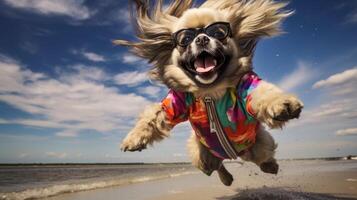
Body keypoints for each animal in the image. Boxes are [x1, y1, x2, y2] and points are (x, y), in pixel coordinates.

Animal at [113, 0, 300, 186]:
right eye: (185, 39)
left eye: (218, 33)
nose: (202, 38)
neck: (211, 92)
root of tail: (235, 155)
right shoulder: (175, 103)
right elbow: (152, 116)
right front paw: (134, 138)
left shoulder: (247, 85)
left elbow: (264, 93)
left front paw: (284, 103)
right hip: (200, 154)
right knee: (216, 166)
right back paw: (227, 179)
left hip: (261, 144)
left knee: (261, 158)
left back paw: (270, 166)